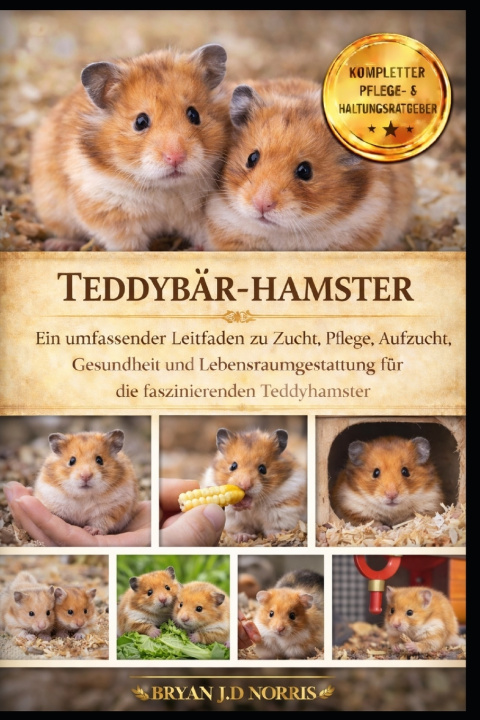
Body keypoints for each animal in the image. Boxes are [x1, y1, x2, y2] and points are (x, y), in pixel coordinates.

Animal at [30, 44, 231, 251]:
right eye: (140, 122)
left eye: (194, 114)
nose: (175, 158)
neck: (165, 188)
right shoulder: (110, 213)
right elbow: (128, 245)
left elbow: (203, 235)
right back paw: (58, 244)